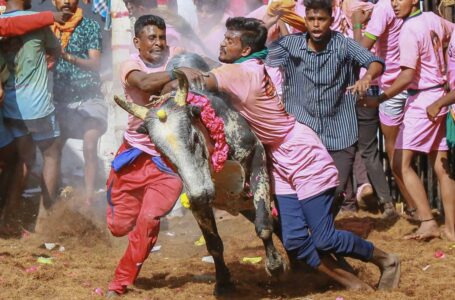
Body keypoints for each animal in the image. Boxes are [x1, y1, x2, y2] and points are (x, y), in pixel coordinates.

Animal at [114, 52, 284, 294]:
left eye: (194, 138)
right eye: (163, 153)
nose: (201, 194)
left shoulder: (256, 156)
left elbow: (264, 225)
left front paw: (275, 265)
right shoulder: (197, 200)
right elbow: (214, 244)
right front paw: (223, 283)